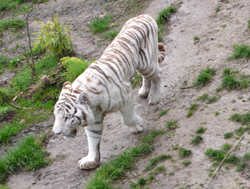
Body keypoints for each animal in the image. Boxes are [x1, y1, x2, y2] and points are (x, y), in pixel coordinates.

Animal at [52, 14, 166, 169]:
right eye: (56, 116)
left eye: (67, 117)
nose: (56, 133)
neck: (93, 104)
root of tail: (143, 15)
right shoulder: (93, 118)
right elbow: (93, 139)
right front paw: (91, 160)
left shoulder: (125, 96)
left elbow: (127, 118)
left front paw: (137, 125)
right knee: (147, 77)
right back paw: (144, 91)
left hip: (146, 63)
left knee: (158, 73)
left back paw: (154, 97)